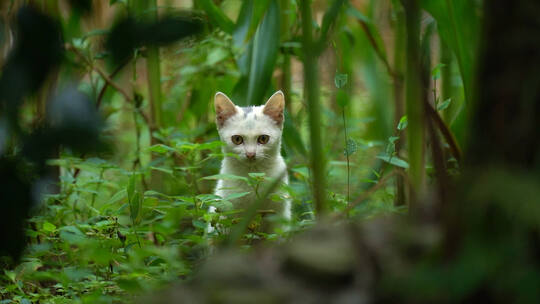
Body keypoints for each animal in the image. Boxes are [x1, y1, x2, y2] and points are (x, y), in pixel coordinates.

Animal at [211, 90, 292, 226]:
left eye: (263, 138)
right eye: (237, 139)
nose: (250, 154)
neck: (252, 174)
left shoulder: (278, 214)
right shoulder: (230, 210)